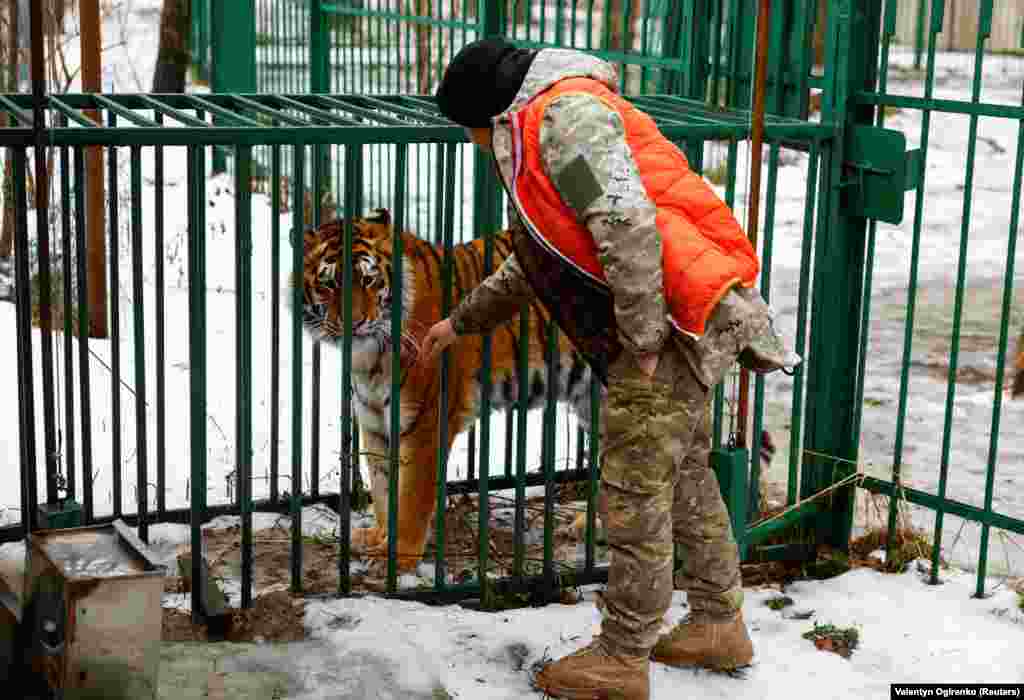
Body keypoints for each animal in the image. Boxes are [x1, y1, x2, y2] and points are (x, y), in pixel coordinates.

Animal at [292, 207, 598, 573]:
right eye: (328, 284)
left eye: (367, 280)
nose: (354, 324)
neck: (369, 356)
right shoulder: (374, 421)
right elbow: (382, 488)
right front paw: (379, 537)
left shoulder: (424, 422)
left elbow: (411, 497)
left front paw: (398, 557)